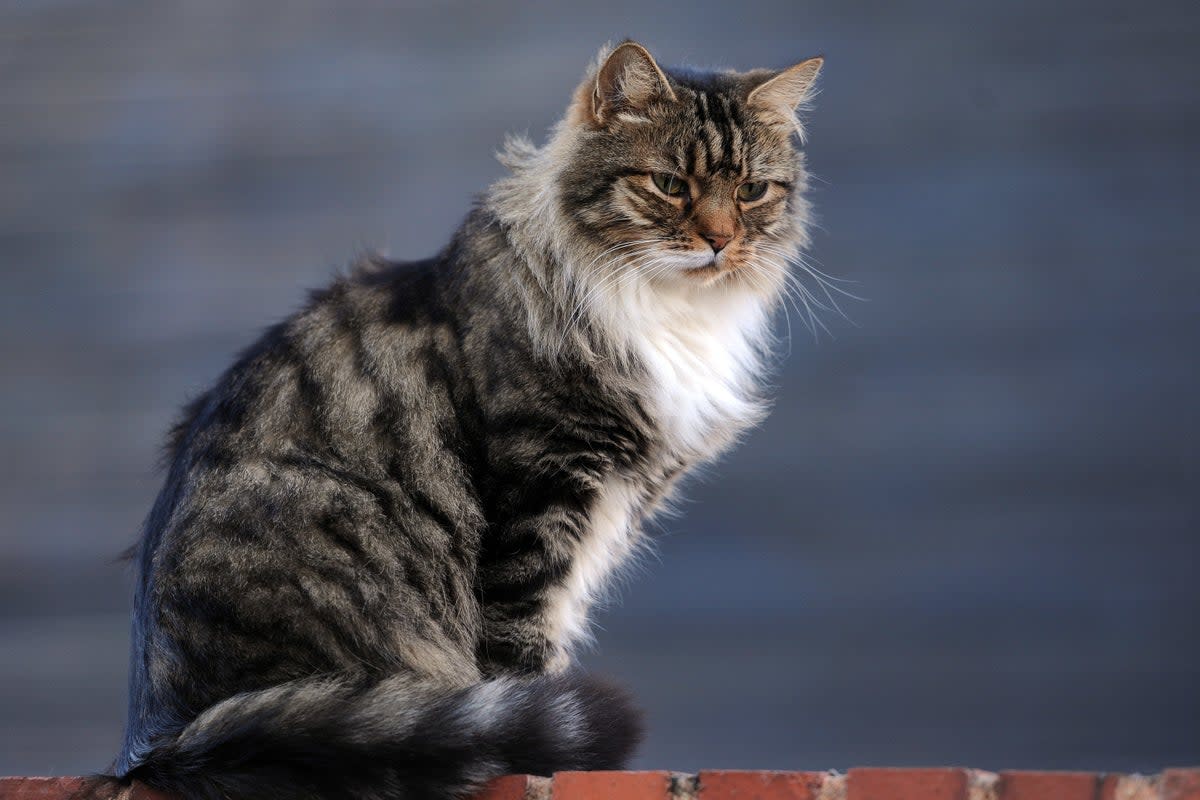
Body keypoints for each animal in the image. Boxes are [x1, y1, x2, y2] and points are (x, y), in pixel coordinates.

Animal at [103, 40, 825, 800]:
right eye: (668, 183)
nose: (720, 240)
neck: (668, 312)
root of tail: (159, 743)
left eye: (751, 192)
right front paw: (542, 755)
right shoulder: (541, 491)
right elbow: (521, 649)